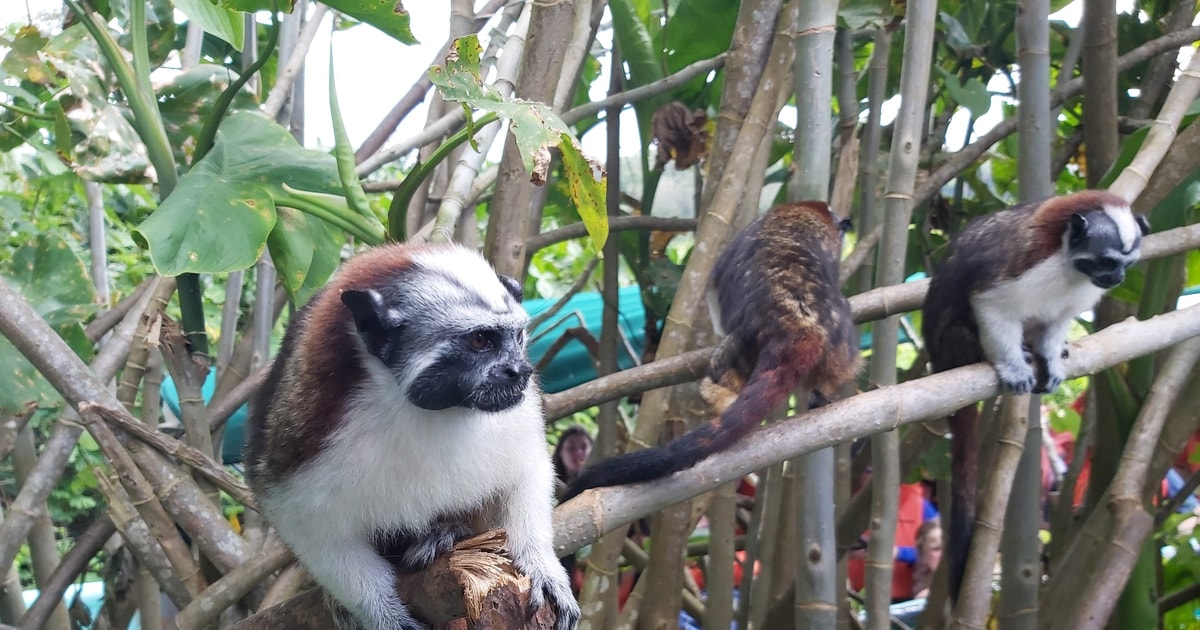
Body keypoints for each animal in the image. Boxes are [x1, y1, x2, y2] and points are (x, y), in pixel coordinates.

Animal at [246, 242, 578, 628]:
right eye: (481, 340)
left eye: (517, 337)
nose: (520, 370)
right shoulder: (301, 433)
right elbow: (306, 525)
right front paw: (379, 610)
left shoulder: (519, 410)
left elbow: (527, 470)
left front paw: (539, 562)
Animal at [916, 188, 1152, 600]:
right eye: (1108, 261)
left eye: (1128, 263)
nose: (1118, 277)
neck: (1069, 262)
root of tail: (940, 361)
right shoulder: (1028, 264)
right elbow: (991, 303)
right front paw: (1013, 367)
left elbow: (1056, 320)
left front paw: (1052, 357)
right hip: (953, 348)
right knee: (964, 328)